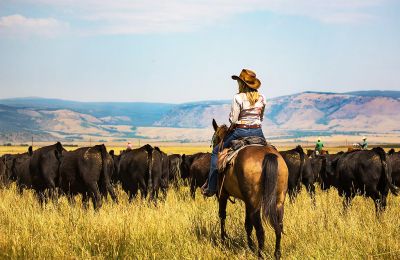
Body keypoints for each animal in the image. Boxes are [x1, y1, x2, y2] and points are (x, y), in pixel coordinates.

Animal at [209, 119, 288, 258]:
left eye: (214, 140)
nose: (214, 147)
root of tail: (268, 155)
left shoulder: (223, 194)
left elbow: (222, 216)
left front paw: (223, 240)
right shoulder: (247, 202)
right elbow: (247, 225)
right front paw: (250, 247)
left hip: (254, 203)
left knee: (261, 231)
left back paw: (260, 255)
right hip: (278, 201)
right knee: (278, 227)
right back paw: (276, 254)